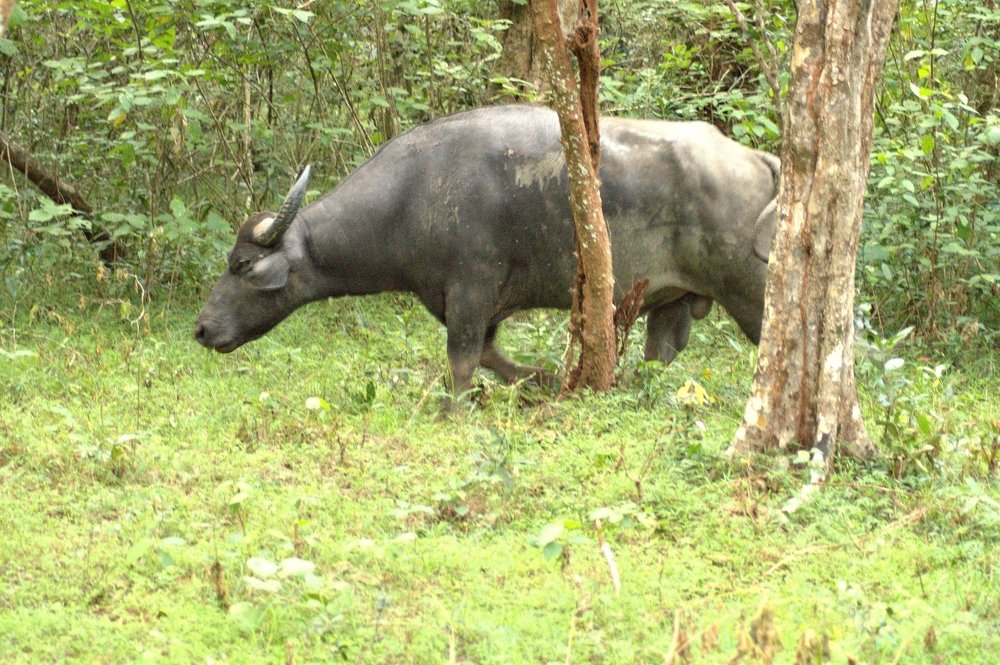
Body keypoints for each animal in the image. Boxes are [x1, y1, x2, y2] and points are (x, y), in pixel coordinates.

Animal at [195, 105, 778, 397]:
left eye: (241, 265)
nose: (201, 328)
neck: (410, 195)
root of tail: (756, 159)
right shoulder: (477, 303)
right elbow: (492, 357)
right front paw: (545, 381)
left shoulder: (470, 289)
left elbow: (461, 360)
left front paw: (453, 411)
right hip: (672, 304)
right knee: (661, 357)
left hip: (752, 295)